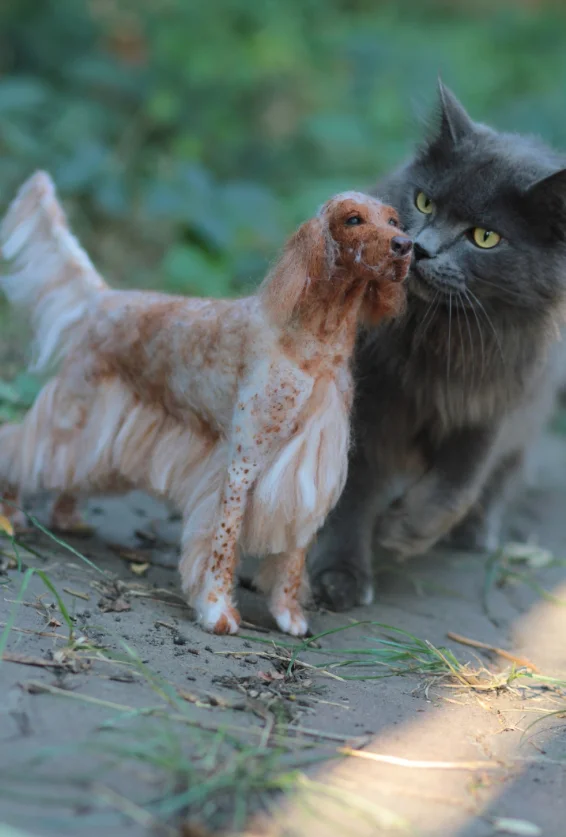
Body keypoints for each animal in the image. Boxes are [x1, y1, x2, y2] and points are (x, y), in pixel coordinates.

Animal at [312, 81, 566, 612]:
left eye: (485, 237)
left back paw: (475, 532)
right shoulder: (371, 397)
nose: (420, 247)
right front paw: (340, 573)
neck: (443, 337)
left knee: (506, 473)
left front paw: (404, 531)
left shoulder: (493, 405)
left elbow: (456, 486)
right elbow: (354, 488)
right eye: (424, 202)